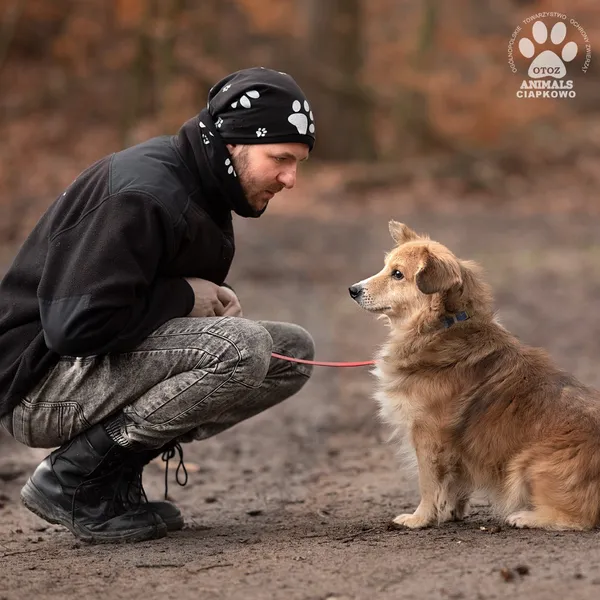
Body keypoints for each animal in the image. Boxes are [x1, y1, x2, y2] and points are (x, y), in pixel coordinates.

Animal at [350, 220, 600, 528]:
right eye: (385, 267)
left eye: (397, 274)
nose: (352, 289)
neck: (441, 327)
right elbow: (453, 484)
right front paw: (451, 512)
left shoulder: (427, 436)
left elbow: (428, 484)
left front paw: (420, 518)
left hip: (527, 464)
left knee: (578, 517)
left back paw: (525, 517)